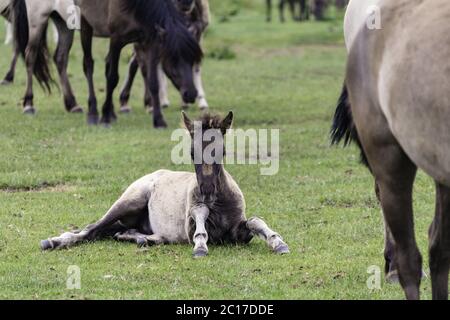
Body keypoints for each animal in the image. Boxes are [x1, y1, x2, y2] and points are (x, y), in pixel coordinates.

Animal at [40, 112, 290, 258]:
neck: (218, 203)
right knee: (92, 229)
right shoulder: (191, 224)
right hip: (129, 201)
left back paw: (140, 238)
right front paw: (200, 247)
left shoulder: (238, 232)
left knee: (117, 231)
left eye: (223, 151)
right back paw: (53, 241)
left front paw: (278, 243)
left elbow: (255, 222)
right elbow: (199, 220)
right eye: (191, 153)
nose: (207, 190)